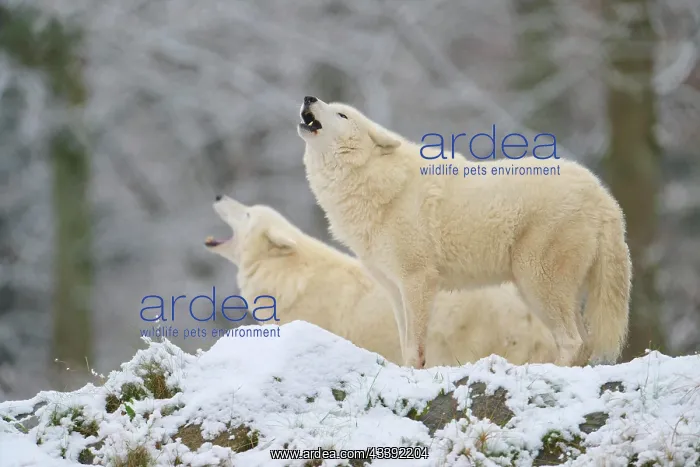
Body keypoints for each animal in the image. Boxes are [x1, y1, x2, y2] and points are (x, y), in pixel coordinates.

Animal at [296, 96, 631, 369]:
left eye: (342, 115)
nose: (308, 97)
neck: (376, 183)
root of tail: (602, 194)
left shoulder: (418, 280)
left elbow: (414, 348)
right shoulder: (394, 288)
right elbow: (405, 344)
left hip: (537, 283)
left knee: (573, 341)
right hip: (541, 292)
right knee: (583, 342)